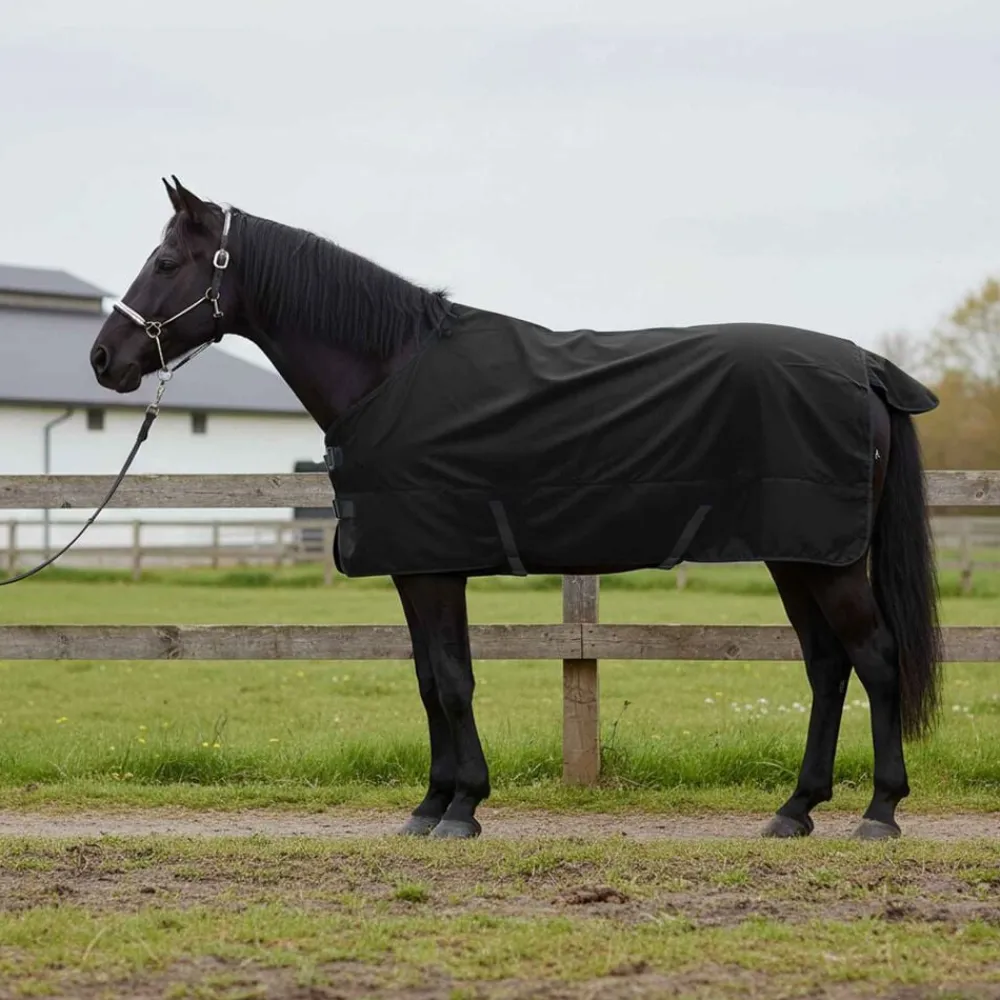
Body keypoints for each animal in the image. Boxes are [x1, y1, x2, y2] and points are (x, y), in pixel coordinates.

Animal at [89, 176, 943, 841]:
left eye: (166, 261)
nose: (104, 359)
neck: (389, 371)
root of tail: (865, 367)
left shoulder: (433, 568)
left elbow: (451, 681)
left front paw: (461, 807)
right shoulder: (419, 568)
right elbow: (430, 678)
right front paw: (433, 803)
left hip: (826, 562)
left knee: (875, 659)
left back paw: (880, 812)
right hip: (798, 557)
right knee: (827, 666)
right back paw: (795, 810)